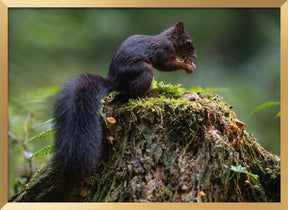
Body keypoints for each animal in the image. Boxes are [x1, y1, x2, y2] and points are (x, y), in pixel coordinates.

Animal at [52, 20, 196, 177]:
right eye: (188, 42)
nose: (194, 56)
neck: (170, 40)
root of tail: (114, 81)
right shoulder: (163, 50)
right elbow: (165, 64)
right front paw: (186, 65)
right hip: (144, 70)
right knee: (133, 95)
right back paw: (149, 95)